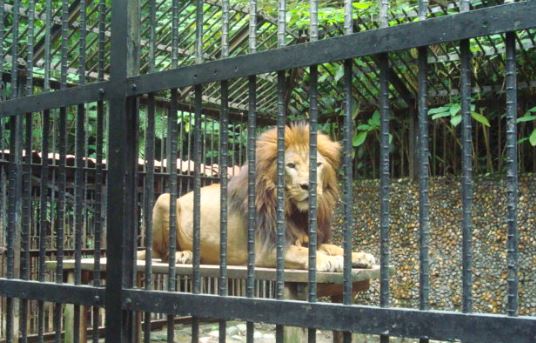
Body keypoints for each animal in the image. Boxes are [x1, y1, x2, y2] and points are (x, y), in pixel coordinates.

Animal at [144, 122, 374, 272]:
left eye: (317, 164)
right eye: (291, 165)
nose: (308, 185)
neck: (295, 212)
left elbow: (334, 247)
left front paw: (360, 255)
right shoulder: (265, 250)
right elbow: (302, 253)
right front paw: (327, 260)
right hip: (164, 198)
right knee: (162, 254)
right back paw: (183, 254)